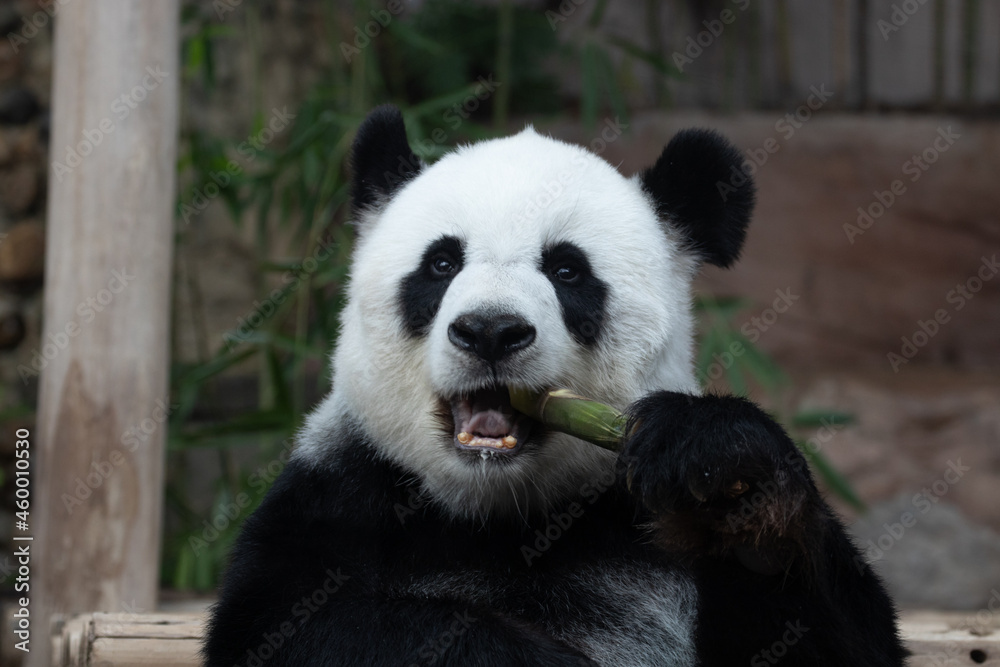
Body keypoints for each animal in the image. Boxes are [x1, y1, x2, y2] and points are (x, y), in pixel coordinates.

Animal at [205, 105, 905, 666]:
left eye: (567, 270)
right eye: (441, 263)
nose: (490, 330)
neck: (503, 514)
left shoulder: (641, 518)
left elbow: (833, 640)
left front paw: (732, 474)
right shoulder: (341, 491)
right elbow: (300, 626)